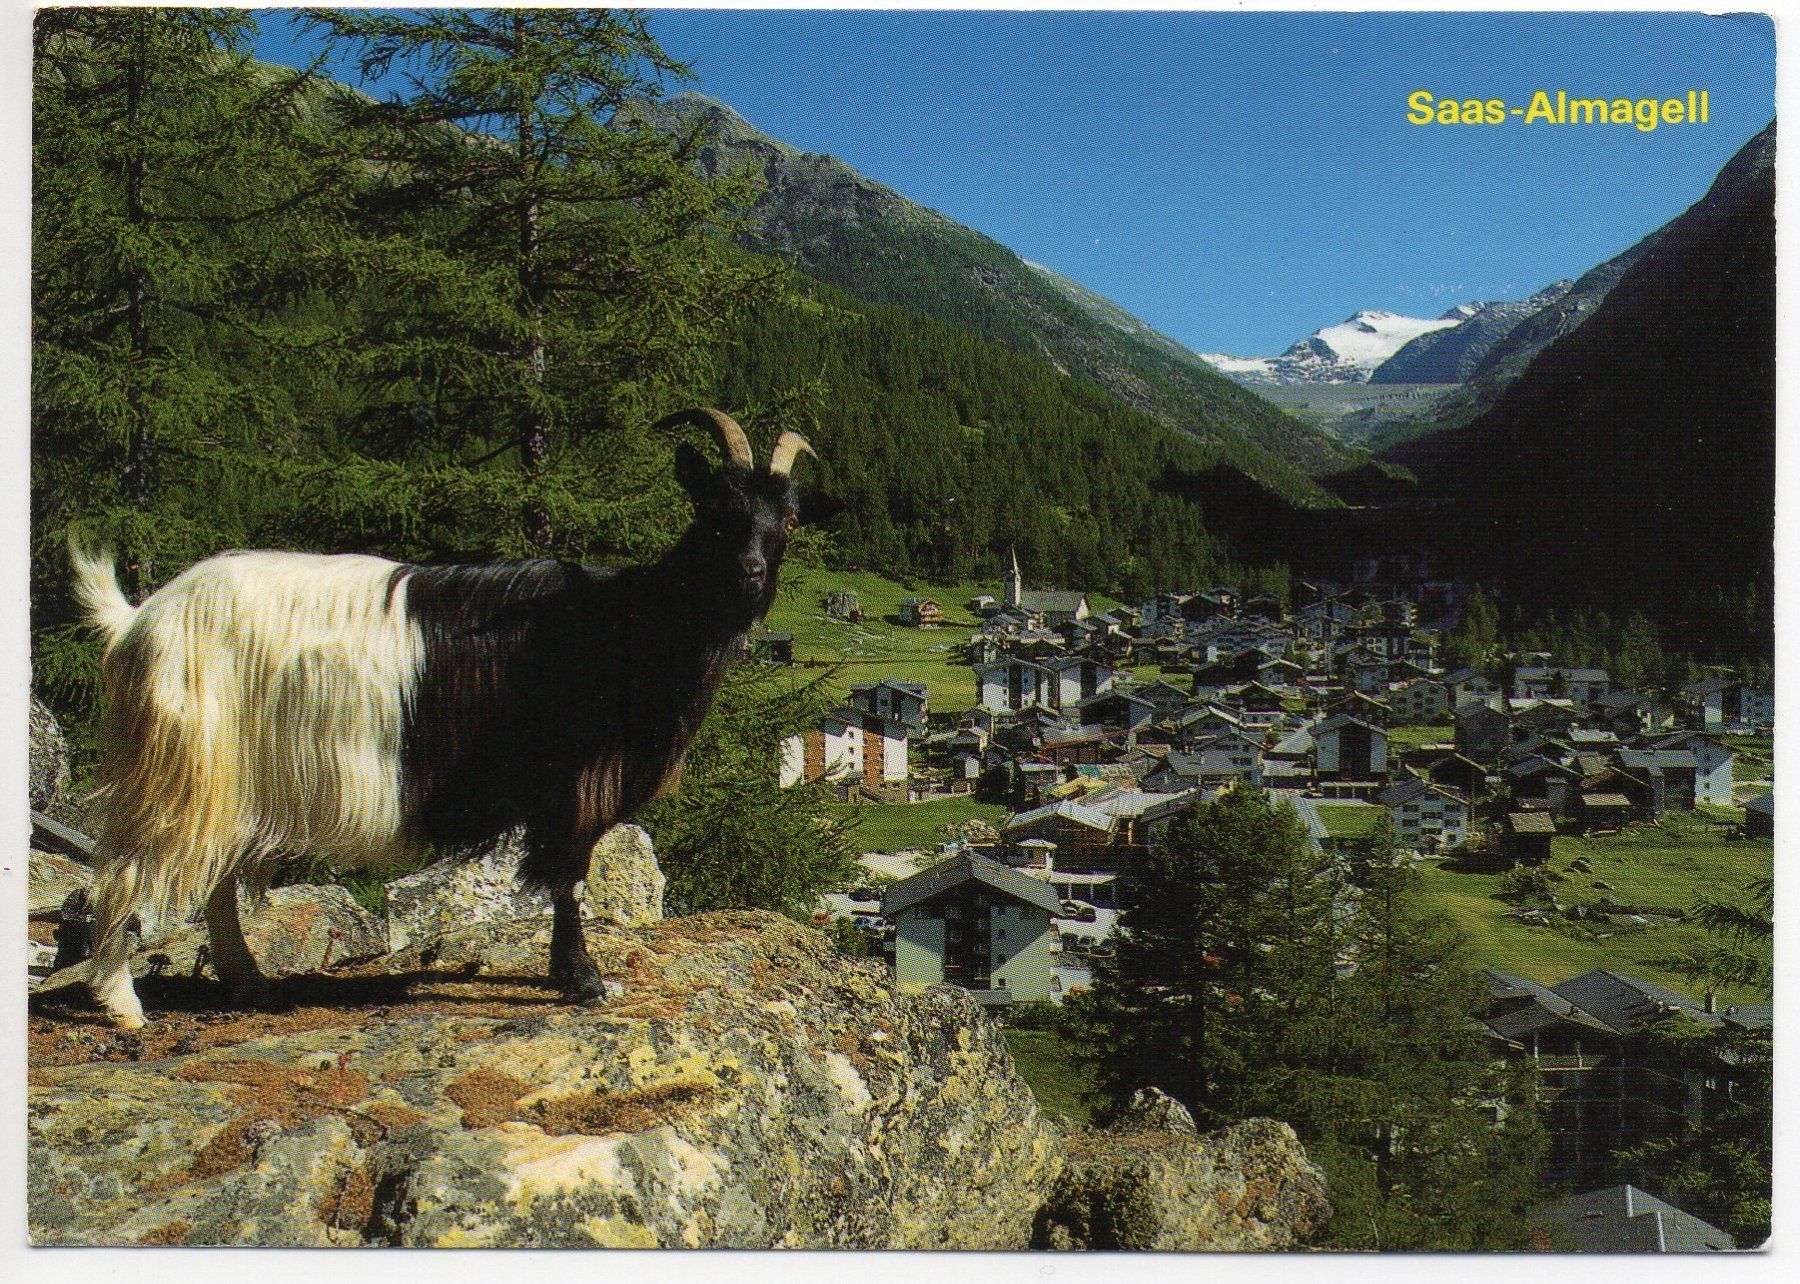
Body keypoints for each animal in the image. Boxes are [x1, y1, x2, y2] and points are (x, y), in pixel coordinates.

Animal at [71, 409, 816, 1028]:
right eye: (715, 510)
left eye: (786, 522)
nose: (751, 573)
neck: (627, 620)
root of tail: (138, 621)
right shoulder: (572, 784)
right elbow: (570, 880)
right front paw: (584, 981)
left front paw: (564, 976)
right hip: (182, 770)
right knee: (126, 874)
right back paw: (121, 1005)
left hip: (231, 783)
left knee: (217, 883)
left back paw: (248, 983)